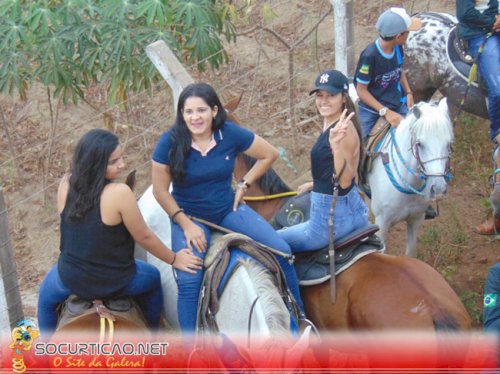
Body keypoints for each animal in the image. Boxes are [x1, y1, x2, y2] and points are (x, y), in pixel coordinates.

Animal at [368, 98, 454, 258]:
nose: (438, 189)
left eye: (449, 143)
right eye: (419, 144)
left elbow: (410, 255)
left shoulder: (416, 220)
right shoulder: (382, 223)